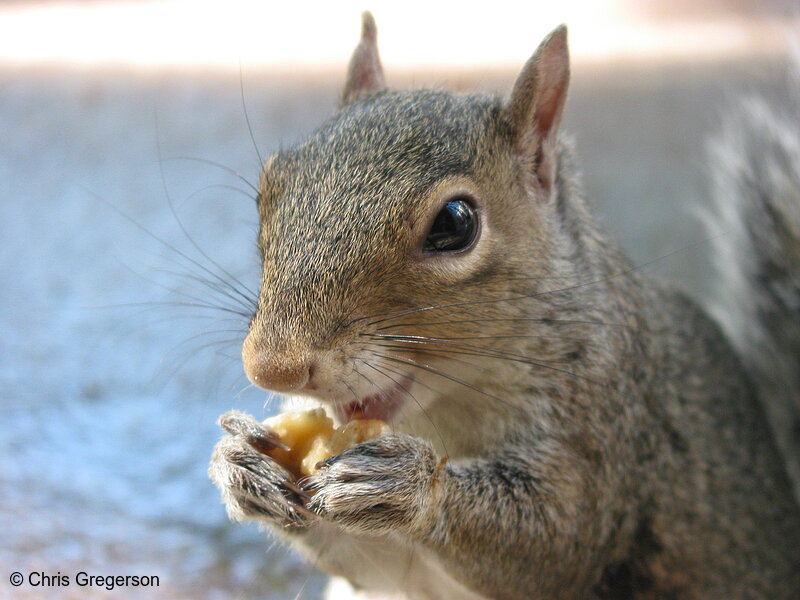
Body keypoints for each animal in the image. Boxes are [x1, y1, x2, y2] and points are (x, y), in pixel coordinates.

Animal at [208, 12, 800, 600]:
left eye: (455, 223)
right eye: (268, 189)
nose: (273, 368)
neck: (445, 412)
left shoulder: (602, 434)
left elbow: (559, 540)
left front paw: (411, 485)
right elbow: (377, 568)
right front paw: (239, 462)